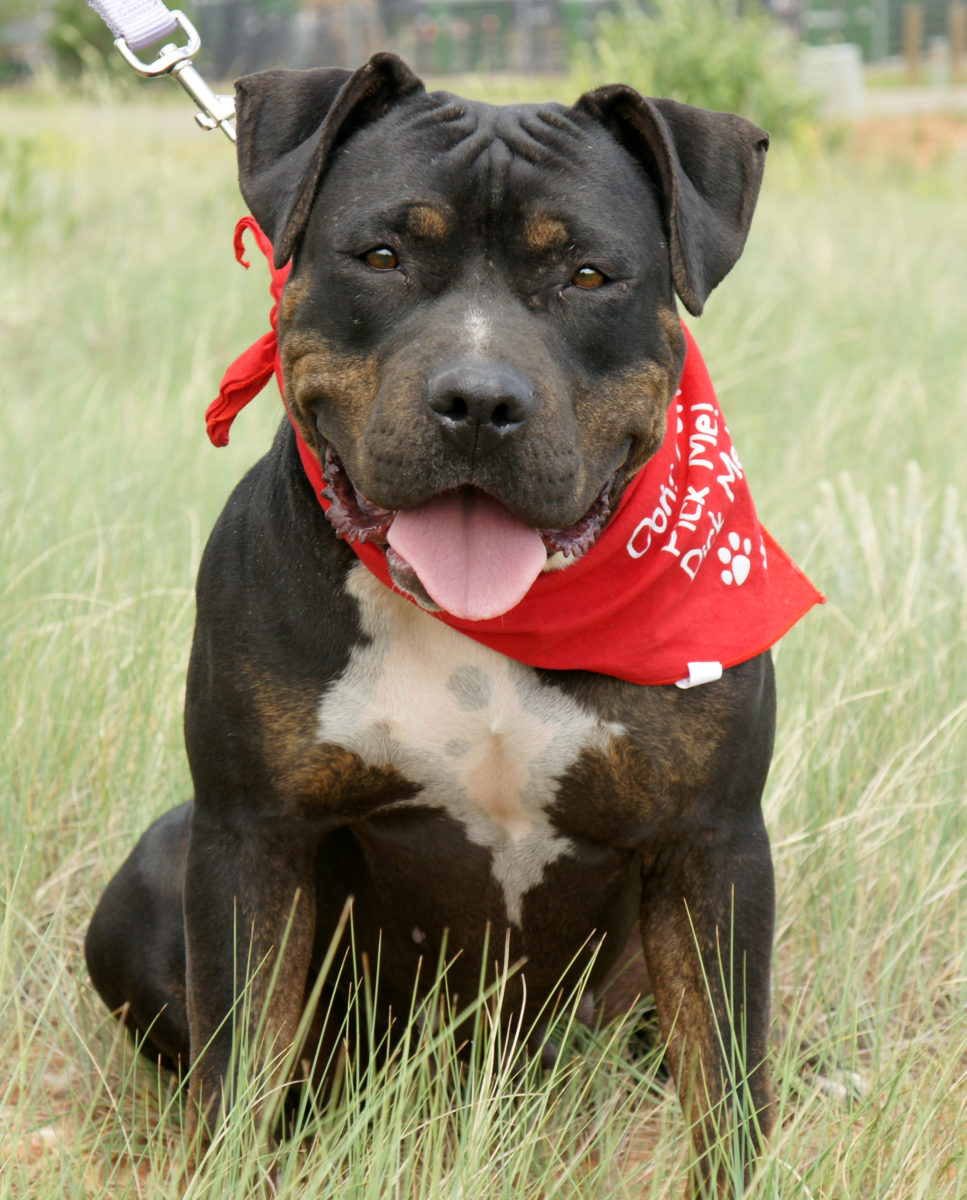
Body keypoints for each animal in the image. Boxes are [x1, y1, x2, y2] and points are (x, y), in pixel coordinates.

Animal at [85, 51, 815, 1195]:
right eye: (382, 255)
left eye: (588, 276)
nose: (477, 401)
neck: (495, 627)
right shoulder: (253, 833)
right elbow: (236, 1071)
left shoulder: (714, 847)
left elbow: (727, 1089)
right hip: (164, 861)